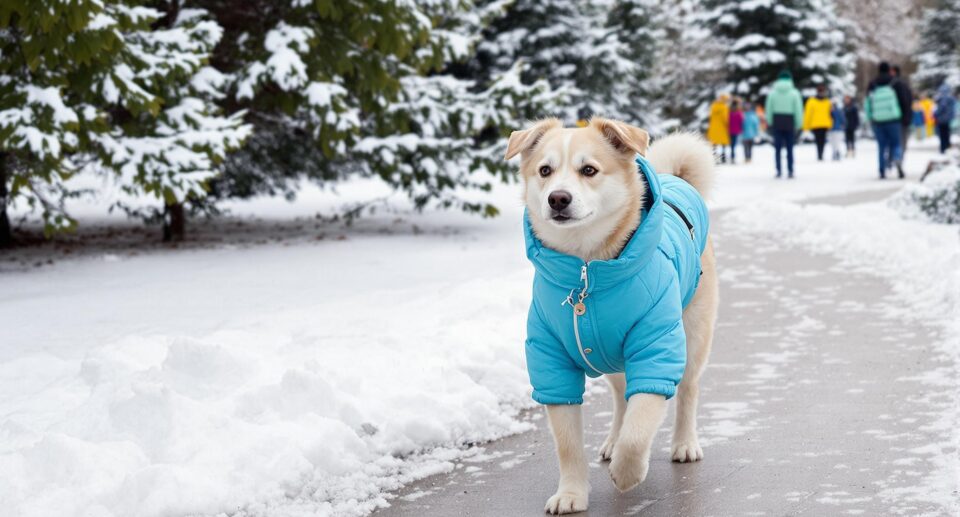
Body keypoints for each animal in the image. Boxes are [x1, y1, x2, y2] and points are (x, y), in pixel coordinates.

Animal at [506, 118, 716, 516]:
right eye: (545, 170)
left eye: (589, 170)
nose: (558, 198)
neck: (585, 272)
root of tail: (676, 178)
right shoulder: (552, 360)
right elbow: (568, 443)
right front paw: (572, 493)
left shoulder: (655, 348)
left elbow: (639, 427)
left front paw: (627, 472)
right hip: (610, 358)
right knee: (621, 399)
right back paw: (612, 440)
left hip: (693, 334)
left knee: (688, 389)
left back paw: (684, 443)